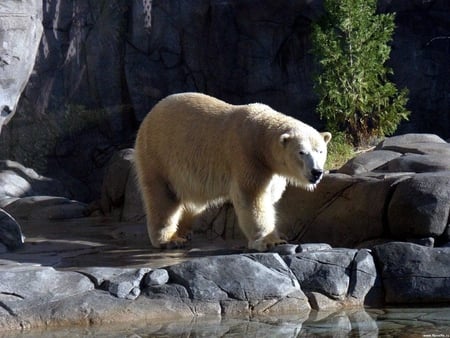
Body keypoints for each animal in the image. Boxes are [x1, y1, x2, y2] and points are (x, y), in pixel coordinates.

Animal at [134, 92, 330, 251]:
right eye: (302, 152)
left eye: (320, 151)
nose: (316, 172)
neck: (260, 138)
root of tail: (149, 115)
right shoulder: (247, 156)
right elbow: (252, 197)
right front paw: (270, 241)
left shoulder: (273, 170)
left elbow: (272, 196)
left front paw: (279, 234)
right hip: (158, 155)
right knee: (163, 197)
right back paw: (170, 239)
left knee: (193, 200)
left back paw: (185, 231)